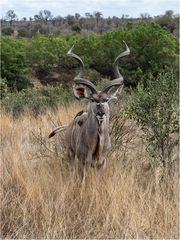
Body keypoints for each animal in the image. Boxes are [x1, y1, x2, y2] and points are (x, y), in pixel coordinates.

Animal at [49, 42, 130, 178]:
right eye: (92, 99)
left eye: (106, 100)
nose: (101, 113)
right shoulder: (83, 162)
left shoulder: (101, 163)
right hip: (70, 154)